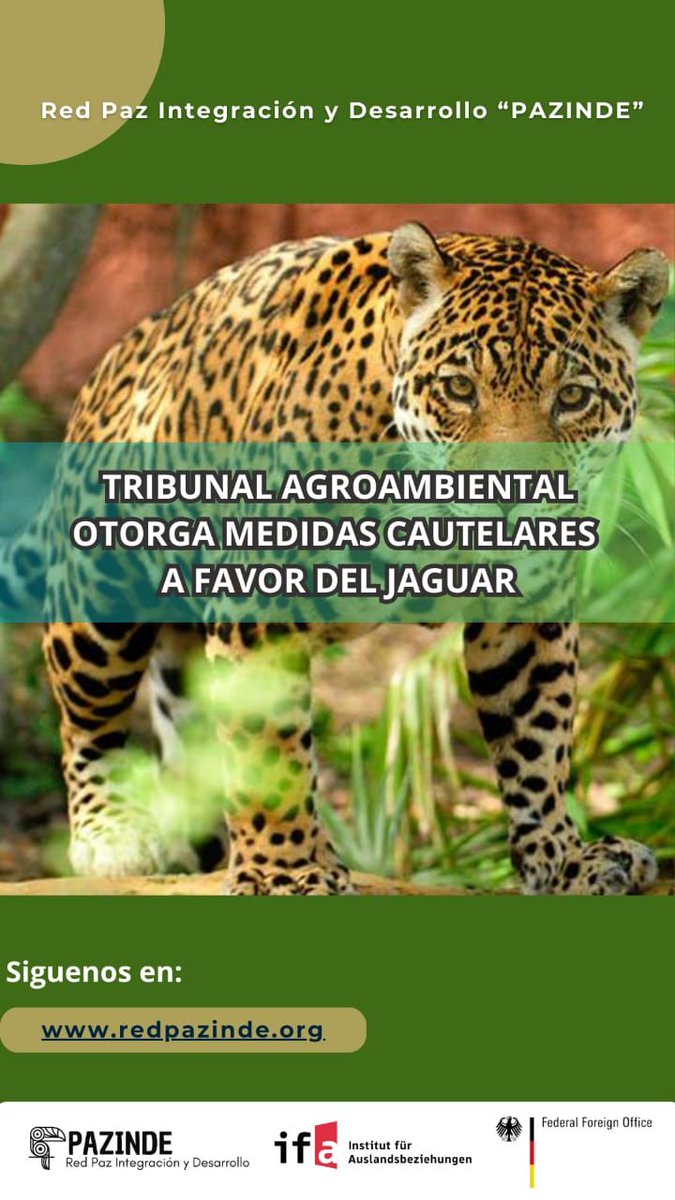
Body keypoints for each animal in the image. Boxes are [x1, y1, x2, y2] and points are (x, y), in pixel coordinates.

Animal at [24, 222, 670, 895]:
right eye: (459, 389)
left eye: (572, 397)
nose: (511, 498)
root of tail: (130, 344)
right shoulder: (257, 606)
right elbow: (266, 749)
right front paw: (286, 871)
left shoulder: (527, 618)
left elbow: (537, 737)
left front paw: (563, 856)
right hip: (97, 596)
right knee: (88, 721)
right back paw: (114, 837)